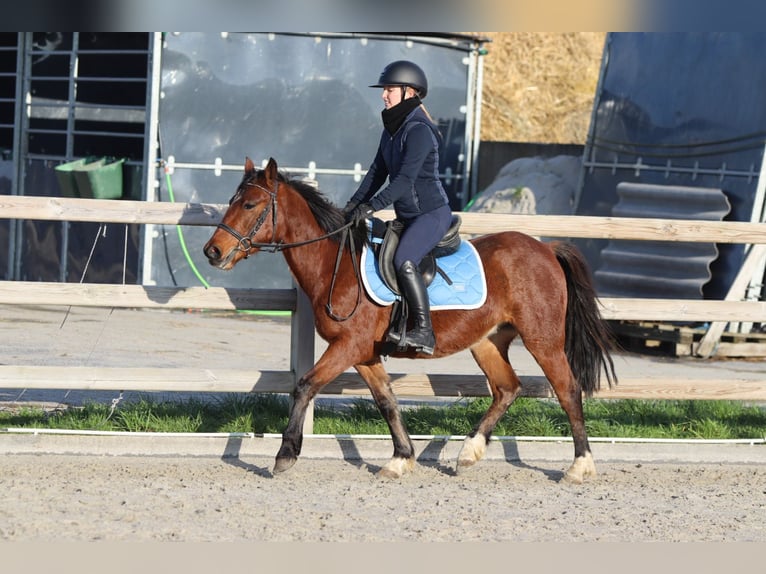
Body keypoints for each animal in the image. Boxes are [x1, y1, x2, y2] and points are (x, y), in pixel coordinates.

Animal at [203, 157, 618, 482]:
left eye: (251, 204)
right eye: (233, 202)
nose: (212, 251)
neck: (336, 263)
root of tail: (546, 248)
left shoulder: (348, 346)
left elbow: (305, 386)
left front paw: (286, 454)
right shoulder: (365, 353)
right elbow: (387, 401)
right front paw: (401, 459)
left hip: (542, 339)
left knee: (568, 390)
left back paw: (579, 466)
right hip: (487, 341)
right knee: (506, 388)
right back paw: (469, 453)